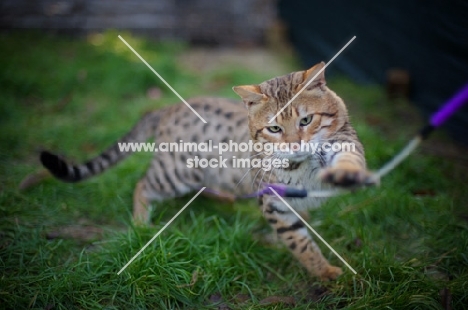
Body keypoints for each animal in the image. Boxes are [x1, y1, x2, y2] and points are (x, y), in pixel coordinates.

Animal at [40, 61, 372, 280]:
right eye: (274, 129)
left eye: (306, 120)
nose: (293, 145)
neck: (301, 168)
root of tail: (168, 108)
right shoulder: (274, 202)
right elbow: (300, 243)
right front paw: (325, 272)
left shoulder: (344, 145)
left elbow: (346, 161)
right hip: (174, 174)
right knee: (141, 184)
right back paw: (141, 224)